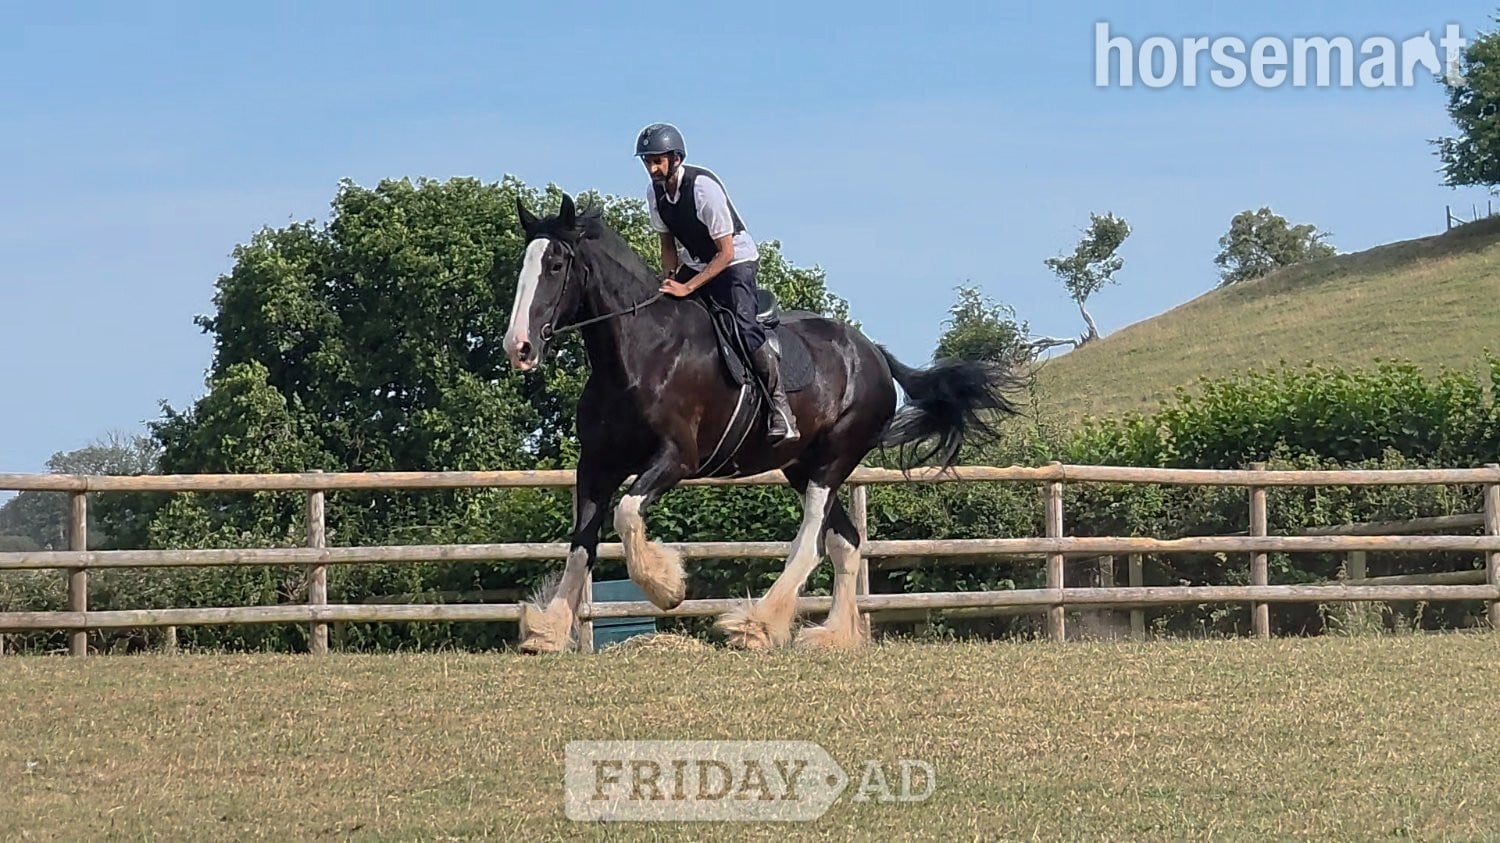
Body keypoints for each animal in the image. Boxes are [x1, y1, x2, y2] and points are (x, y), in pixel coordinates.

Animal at [501, 193, 1027, 652]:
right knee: (846, 543)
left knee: (813, 541)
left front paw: (667, 588)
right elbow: (582, 543)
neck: (639, 353)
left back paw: (756, 624)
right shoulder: (597, 464)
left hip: (832, 461)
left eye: (555, 265)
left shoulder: (675, 459)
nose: (519, 347)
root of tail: (873, 353)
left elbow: (626, 513)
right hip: (800, 465)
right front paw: (549, 631)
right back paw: (831, 635)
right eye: (521, 265)